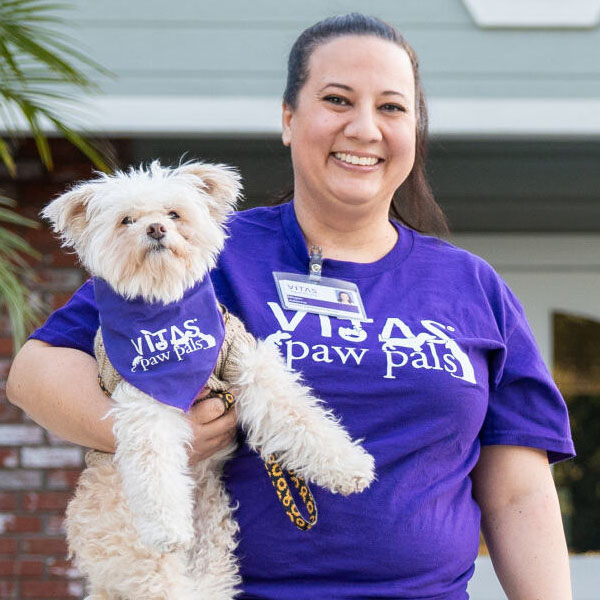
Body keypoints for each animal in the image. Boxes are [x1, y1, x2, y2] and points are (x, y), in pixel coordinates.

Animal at [44, 163, 376, 600]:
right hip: (138, 557)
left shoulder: (243, 361)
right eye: (126, 220)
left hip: (215, 543)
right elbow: (153, 461)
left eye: (173, 214)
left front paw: (349, 465)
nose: (155, 228)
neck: (167, 308)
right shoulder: (144, 398)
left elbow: (297, 414)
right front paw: (166, 525)